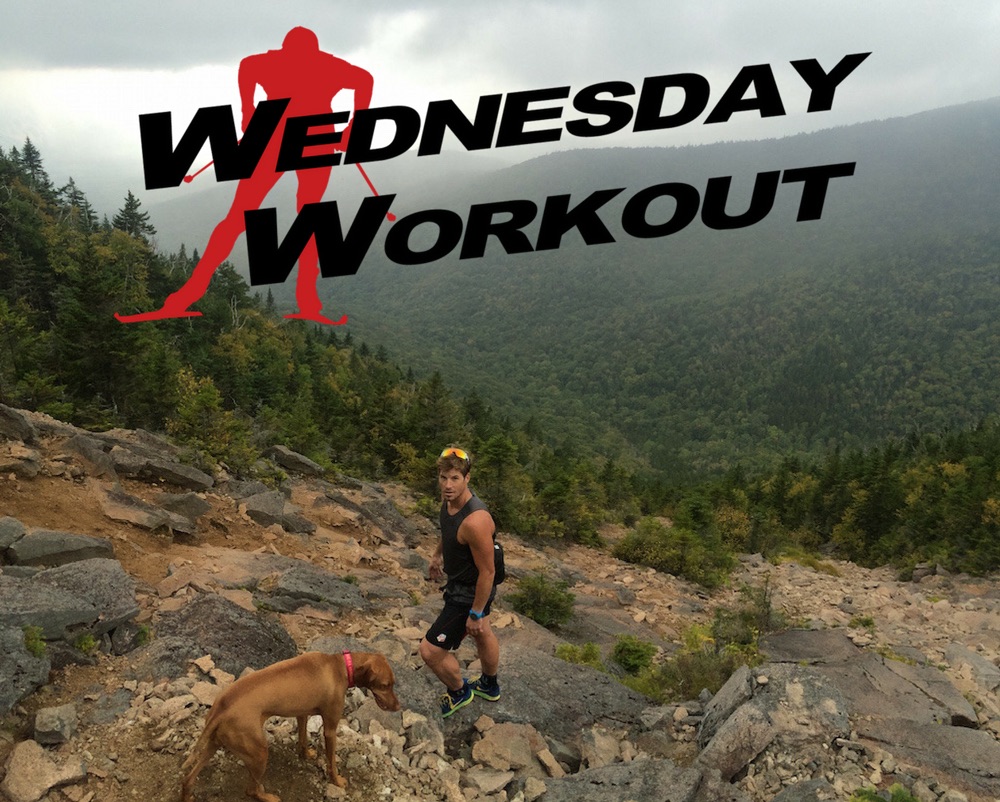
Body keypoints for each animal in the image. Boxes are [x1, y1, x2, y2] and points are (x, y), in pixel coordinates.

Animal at [182, 648, 400, 800]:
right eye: (385, 685)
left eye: (393, 683)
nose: (398, 707)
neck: (340, 666)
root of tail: (221, 707)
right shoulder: (330, 729)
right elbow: (331, 761)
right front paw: (337, 781)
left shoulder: (302, 714)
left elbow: (302, 738)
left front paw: (306, 754)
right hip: (259, 752)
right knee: (251, 790)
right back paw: (268, 797)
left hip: (214, 744)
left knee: (188, 778)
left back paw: (188, 795)